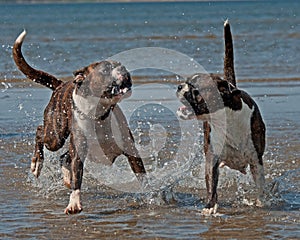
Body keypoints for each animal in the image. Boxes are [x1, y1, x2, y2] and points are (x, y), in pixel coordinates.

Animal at [12, 29, 146, 214]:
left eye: (121, 65)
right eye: (105, 69)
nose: (123, 70)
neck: (99, 115)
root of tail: (60, 86)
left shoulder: (130, 151)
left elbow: (142, 176)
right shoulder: (79, 151)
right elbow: (77, 178)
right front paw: (74, 202)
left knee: (63, 157)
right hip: (55, 135)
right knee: (40, 132)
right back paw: (37, 163)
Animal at [176, 20, 264, 215]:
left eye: (195, 89)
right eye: (186, 82)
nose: (179, 86)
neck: (228, 120)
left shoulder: (256, 161)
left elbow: (261, 185)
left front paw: (263, 201)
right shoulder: (212, 158)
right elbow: (211, 184)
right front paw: (210, 206)